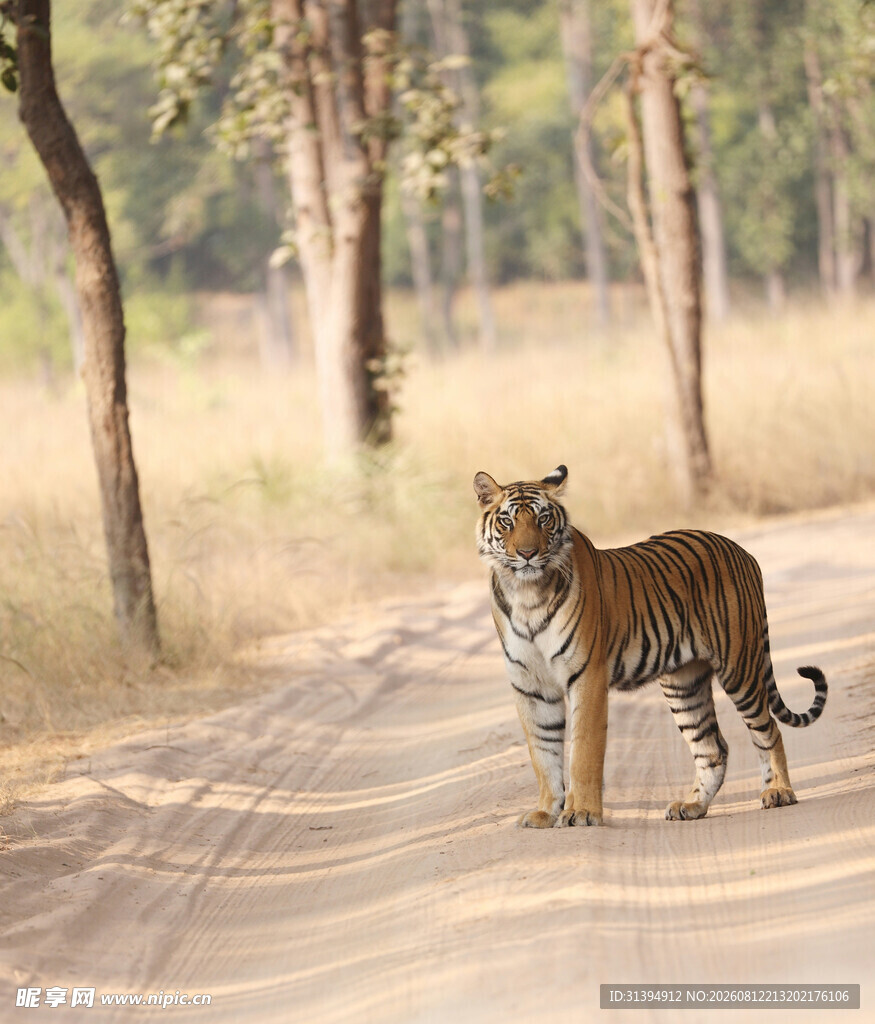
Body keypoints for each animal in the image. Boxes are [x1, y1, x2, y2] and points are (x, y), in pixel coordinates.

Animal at [474, 464, 828, 828]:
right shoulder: (531, 685)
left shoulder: (586, 675)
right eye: (507, 521)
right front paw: (546, 811)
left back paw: (778, 792)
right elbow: (543, 754)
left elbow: (583, 750)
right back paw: (692, 806)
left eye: (543, 519)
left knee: (768, 730)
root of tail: (742, 551)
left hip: (739, 667)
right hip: (684, 683)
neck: (527, 594)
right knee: (713, 748)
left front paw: (582, 812)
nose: (527, 554)